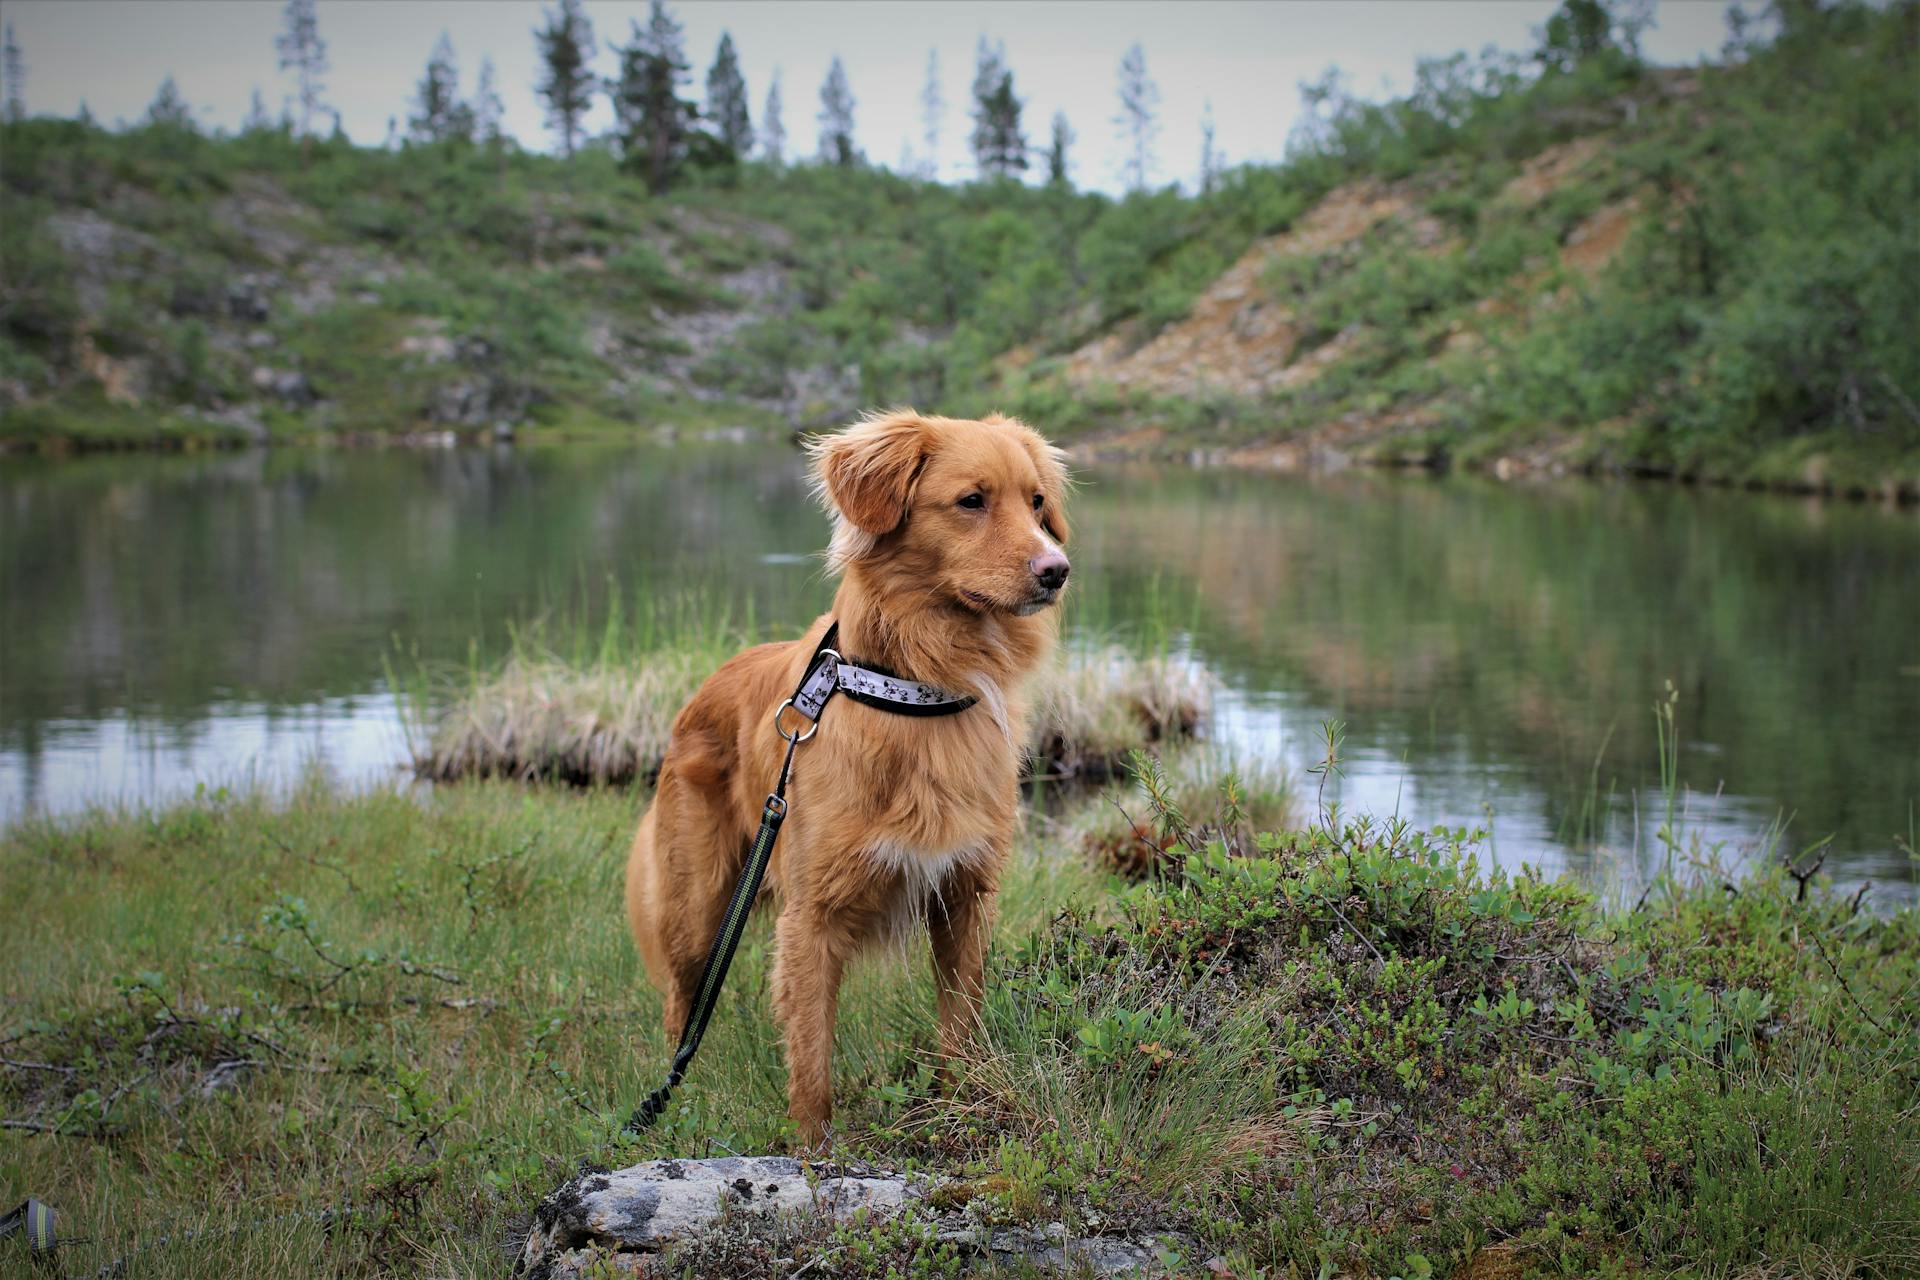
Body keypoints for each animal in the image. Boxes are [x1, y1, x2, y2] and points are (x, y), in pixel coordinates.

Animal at [633, 408, 1075, 1143]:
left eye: (1037, 503)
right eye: (972, 501)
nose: (1057, 570)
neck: (921, 689)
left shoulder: (965, 895)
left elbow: (960, 1028)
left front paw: (960, 1112)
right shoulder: (812, 917)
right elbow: (812, 1058)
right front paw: (812, 1155)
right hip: (697, 902)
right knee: (682, 1001)